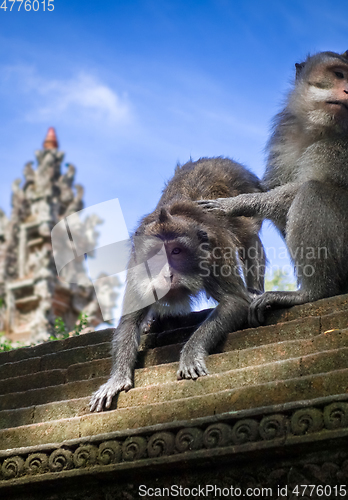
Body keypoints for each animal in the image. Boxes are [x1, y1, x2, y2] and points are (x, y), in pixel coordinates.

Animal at [89, 156, 264, 410]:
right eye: (156, 255)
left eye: (176, 251)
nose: (167, 275)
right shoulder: (137, 265)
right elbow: (130, 319)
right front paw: (117, 378)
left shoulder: (216, 252)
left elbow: (234, 301)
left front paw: (190, 354)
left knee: (250, 239)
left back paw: (255, 290)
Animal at [197, 49, 348, 324]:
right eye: (339, 74)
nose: (347, 90)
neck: (320, 129)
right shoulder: (284, 135)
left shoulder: (338, 149)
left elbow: (295, 191)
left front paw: (234, 205)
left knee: (312, 192)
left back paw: (314, 292)